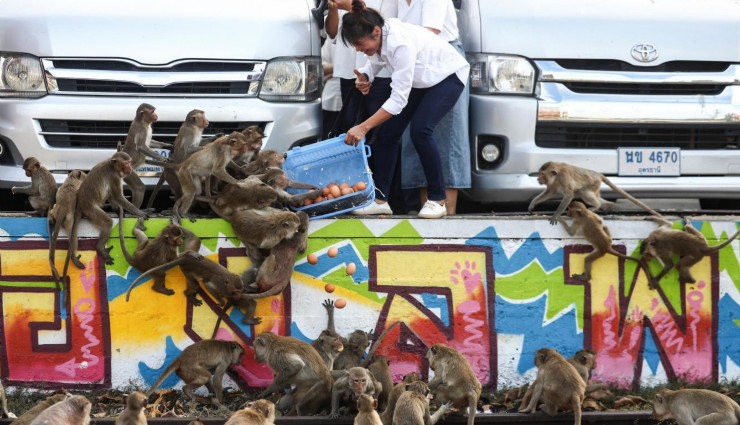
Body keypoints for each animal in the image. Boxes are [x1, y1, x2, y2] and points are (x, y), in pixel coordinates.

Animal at [62, 151, 149, 280]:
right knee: (107, 222)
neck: (112, 166)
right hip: (90, 209)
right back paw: (100, 248)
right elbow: (118, 196)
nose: (130, 168)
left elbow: (114, 196)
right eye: (126, 163)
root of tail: (80, 205)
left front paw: (119, 210)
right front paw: (139, 212)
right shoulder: (114, 176)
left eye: (129, 162)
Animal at [528, 160, 660, 225]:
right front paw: (533, 203)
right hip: (596, 187)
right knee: (587, 194)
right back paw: (608, 207)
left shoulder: (563, 178)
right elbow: (550, 192)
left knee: (584, 193)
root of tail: (598, 174)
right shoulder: (554, 183)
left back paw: (596, 206)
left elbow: (569, 195)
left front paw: (556, 215)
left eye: (541, 174)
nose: (538, 178)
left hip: (593, 183)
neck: (556, 176)